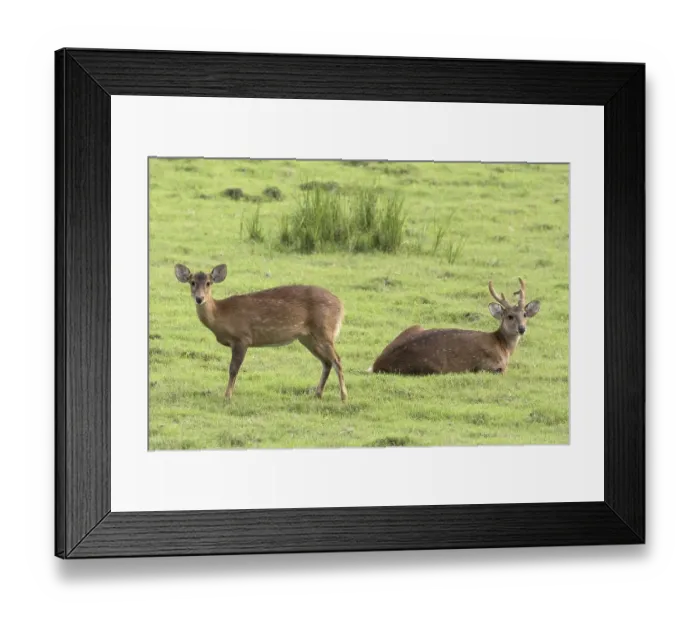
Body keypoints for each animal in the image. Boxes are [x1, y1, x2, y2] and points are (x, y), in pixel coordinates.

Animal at [174, 264, 348, 402]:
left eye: (208, 283)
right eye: (192, 282)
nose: (199, 298)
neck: (221, 314)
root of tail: (341, 304)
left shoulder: (242, 338)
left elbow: (233, 369)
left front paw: (227, 396)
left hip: (324, 330)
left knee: (337, 360)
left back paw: (343, 397)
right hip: (307, 338)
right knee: (326, 362)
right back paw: (318, 394)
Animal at [369, 278, 541, 376]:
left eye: (525, 314)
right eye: (510, 316)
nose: (522, 329)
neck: (503, 346)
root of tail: (377, 365)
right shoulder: (490, 366)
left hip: (415, 326)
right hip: (432, 367)